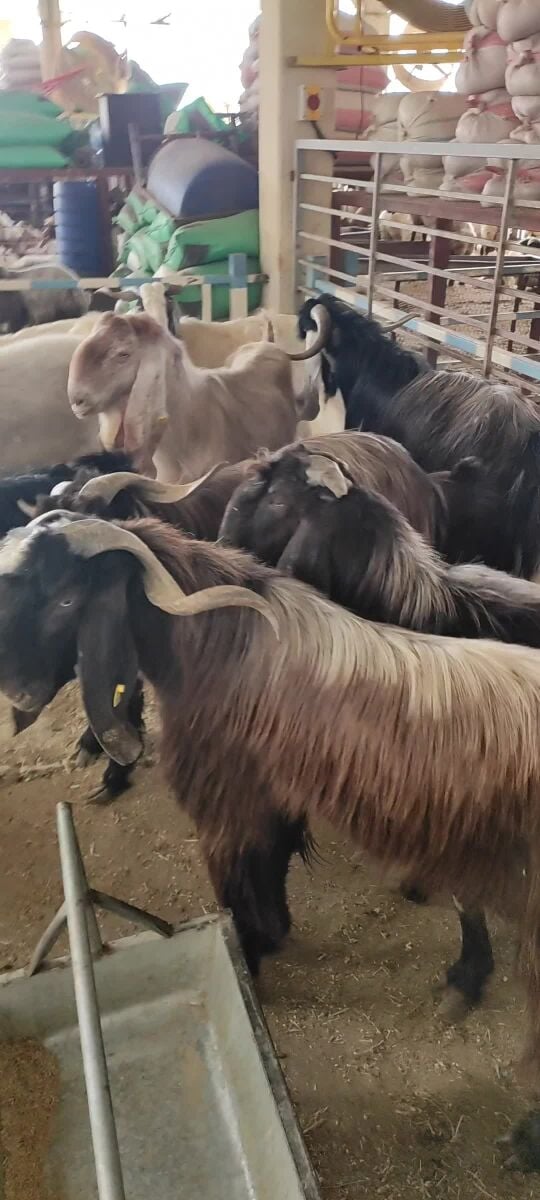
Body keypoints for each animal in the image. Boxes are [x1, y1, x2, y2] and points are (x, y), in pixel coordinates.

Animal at [1, 513, 540, 1168]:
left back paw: (522, 1140)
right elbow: (273, 863)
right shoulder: (273, 796)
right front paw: (275, 932)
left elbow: (236, 881)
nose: (18, 695)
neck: (225, 649)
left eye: (66, 599)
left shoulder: (226, 800)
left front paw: (249, 960)